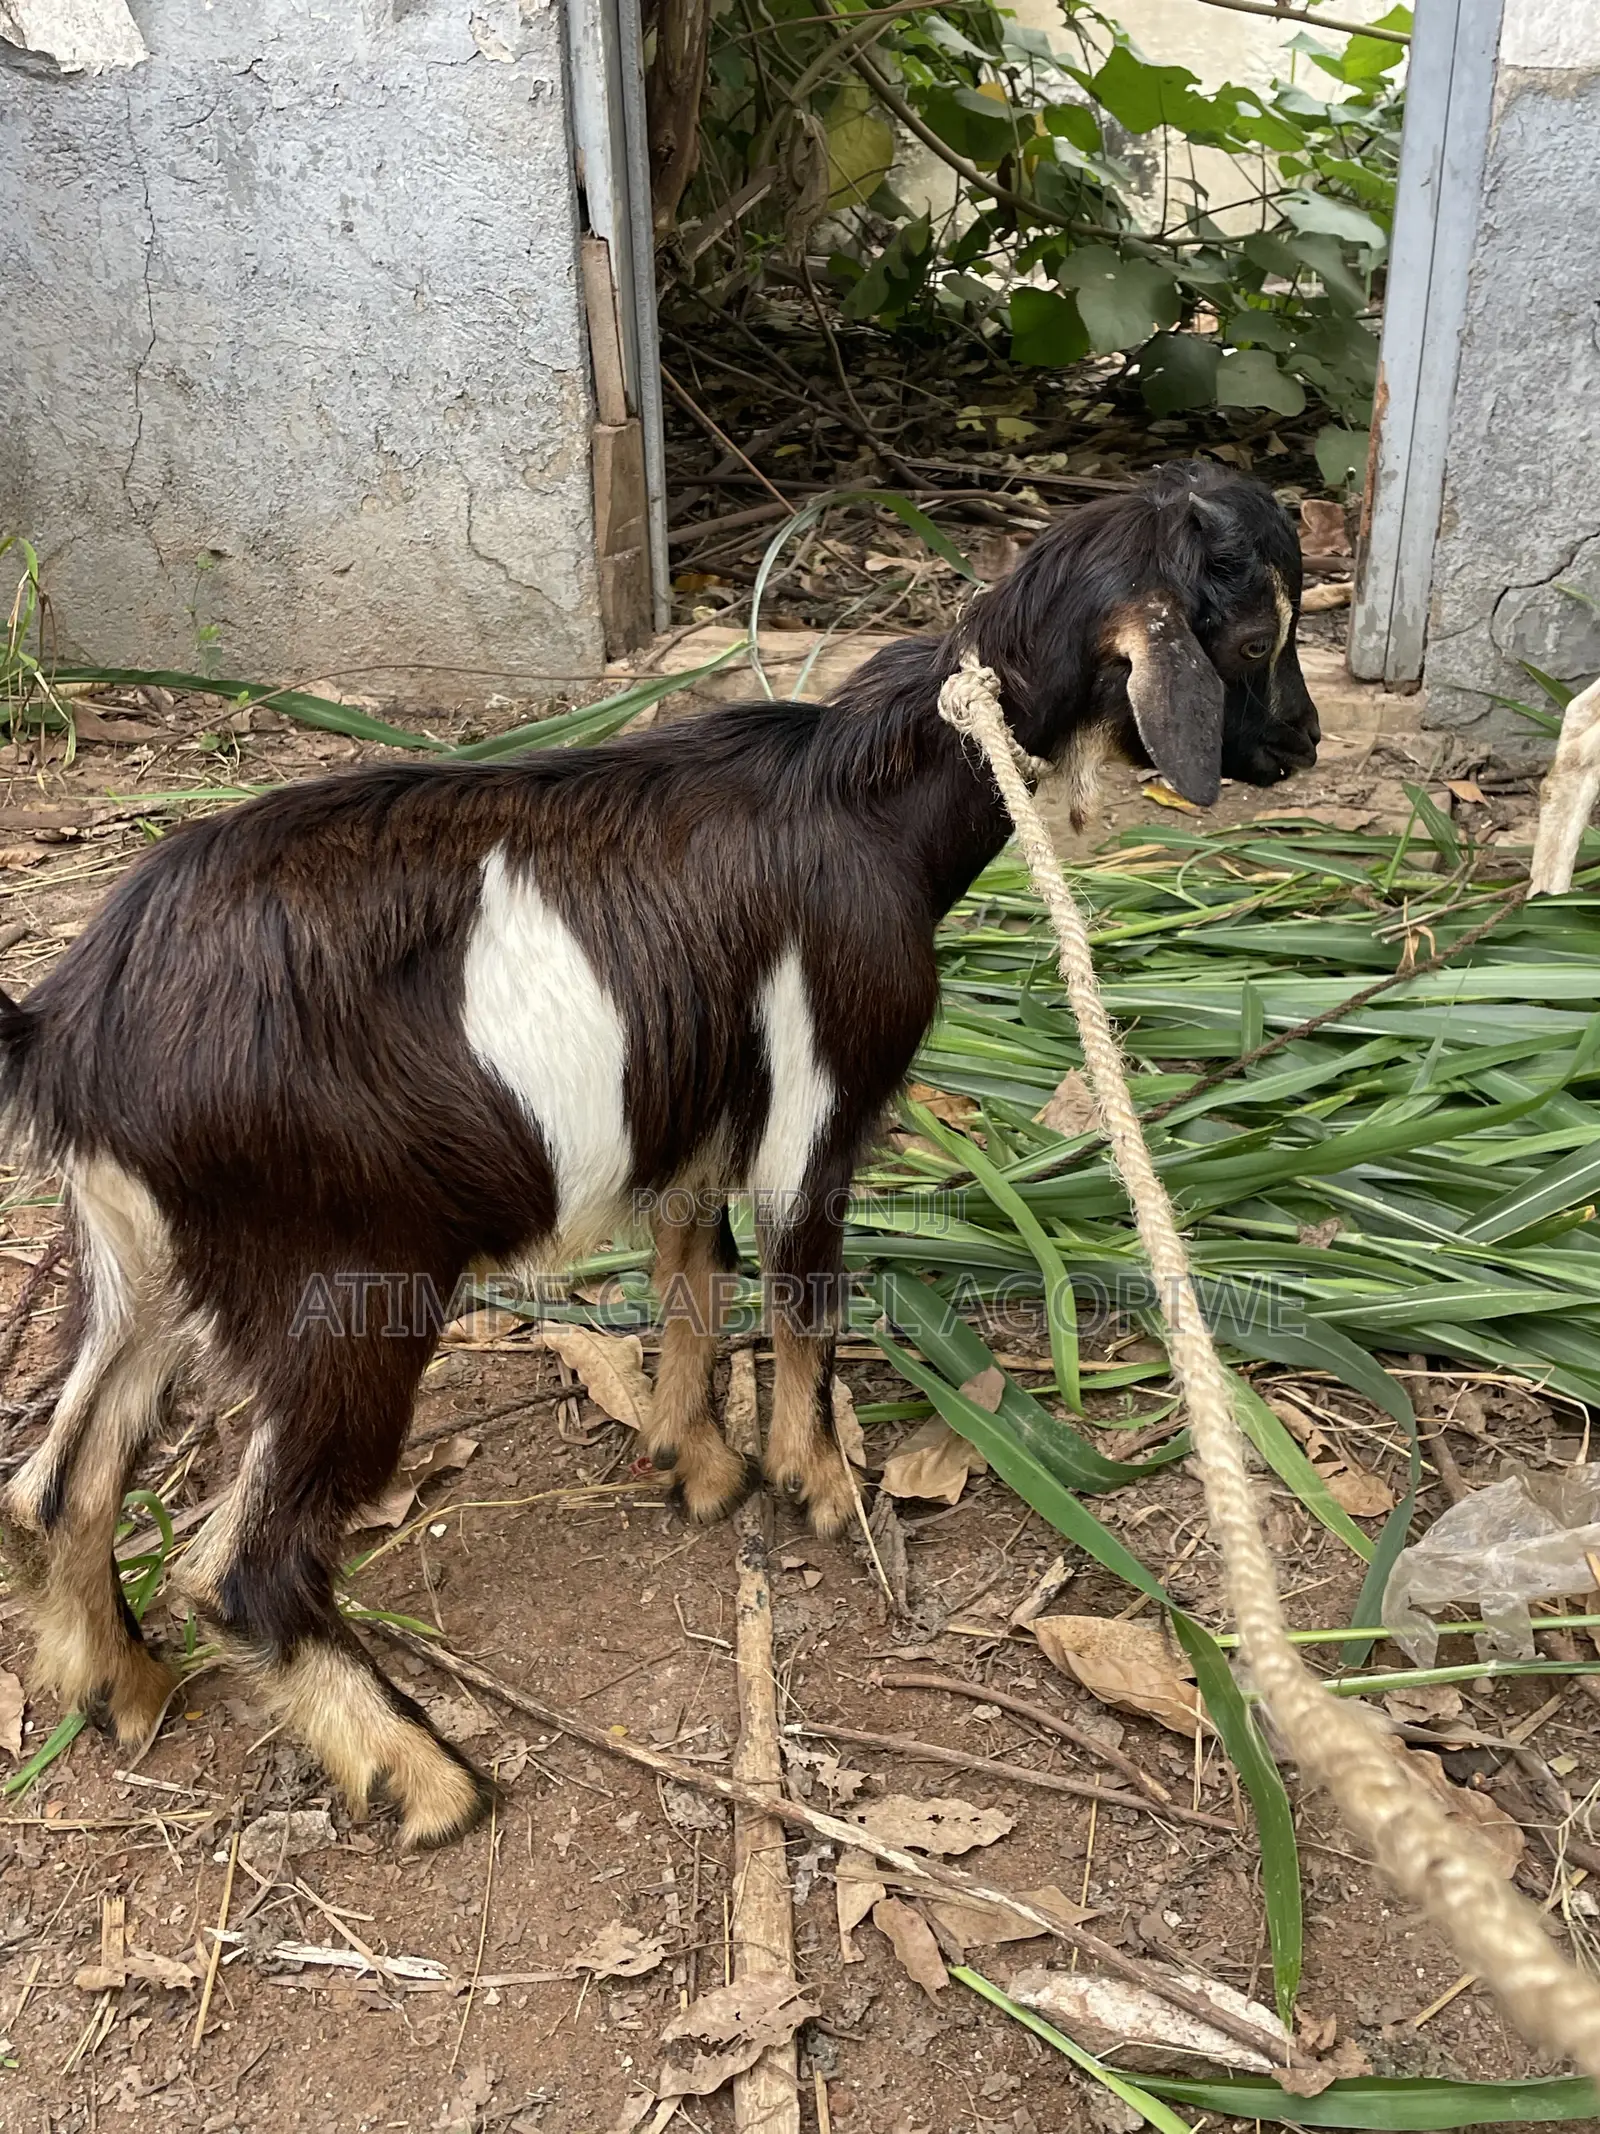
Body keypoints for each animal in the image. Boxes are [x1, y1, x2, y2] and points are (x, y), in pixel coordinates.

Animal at [0, 459, 1319, 1848]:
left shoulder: (695, 1109)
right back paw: (426, 1776)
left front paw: (699, 1466)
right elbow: (802, 1288)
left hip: (139, 1256)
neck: (872, 803)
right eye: (1252, 638)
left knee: (57, 1484)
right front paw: (817, 1483)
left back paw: (125, 1688)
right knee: (242, 1567)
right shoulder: (817, 1096)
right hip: (339, 1284)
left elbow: (695, 1268)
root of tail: (66, 1032)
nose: (1304, 745)